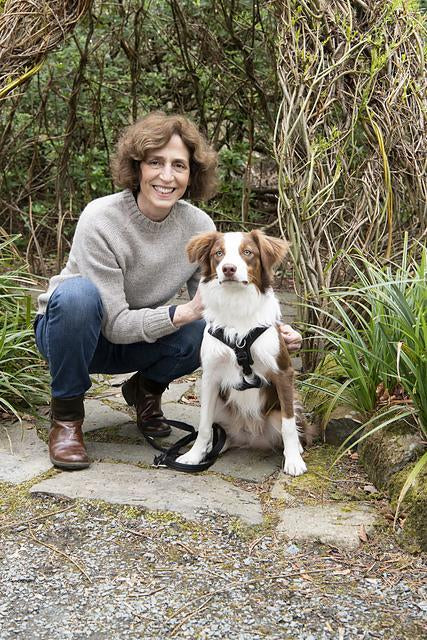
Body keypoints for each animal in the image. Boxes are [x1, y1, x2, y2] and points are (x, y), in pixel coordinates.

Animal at [176, 229, 309, 476]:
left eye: (247, 252)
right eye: (218, 253)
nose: (228, 268)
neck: (236, 303)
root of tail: (252, 436)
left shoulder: (283, 372)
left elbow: (288, 424)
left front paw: (294, 461)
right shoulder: (210, 376)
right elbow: (204, 425)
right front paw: (194, 455)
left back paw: (295, 449)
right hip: (222, 409)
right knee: (220, 431)